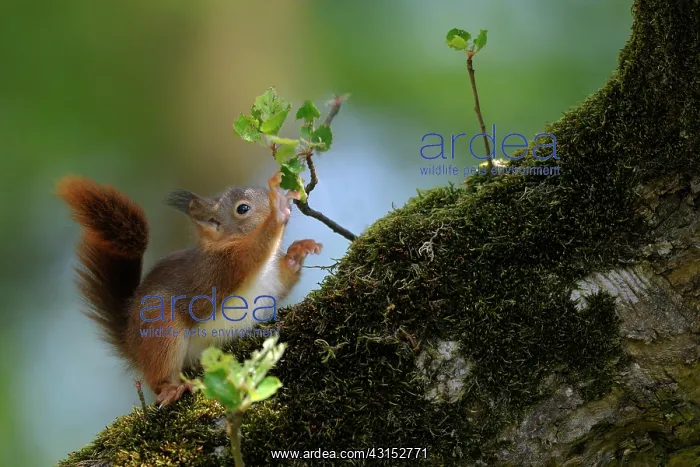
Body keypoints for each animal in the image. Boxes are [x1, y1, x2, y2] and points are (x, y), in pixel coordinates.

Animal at [56, 171, 322, 407]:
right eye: (242, 209)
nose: (282, 204)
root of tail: (132, 345)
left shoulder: (273, 281)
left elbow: (284, 281)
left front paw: (297, 252)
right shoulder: (222, 268)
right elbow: (254, 251)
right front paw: (278, 212)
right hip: (161, 327)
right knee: (157, 378)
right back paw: (173, 388)